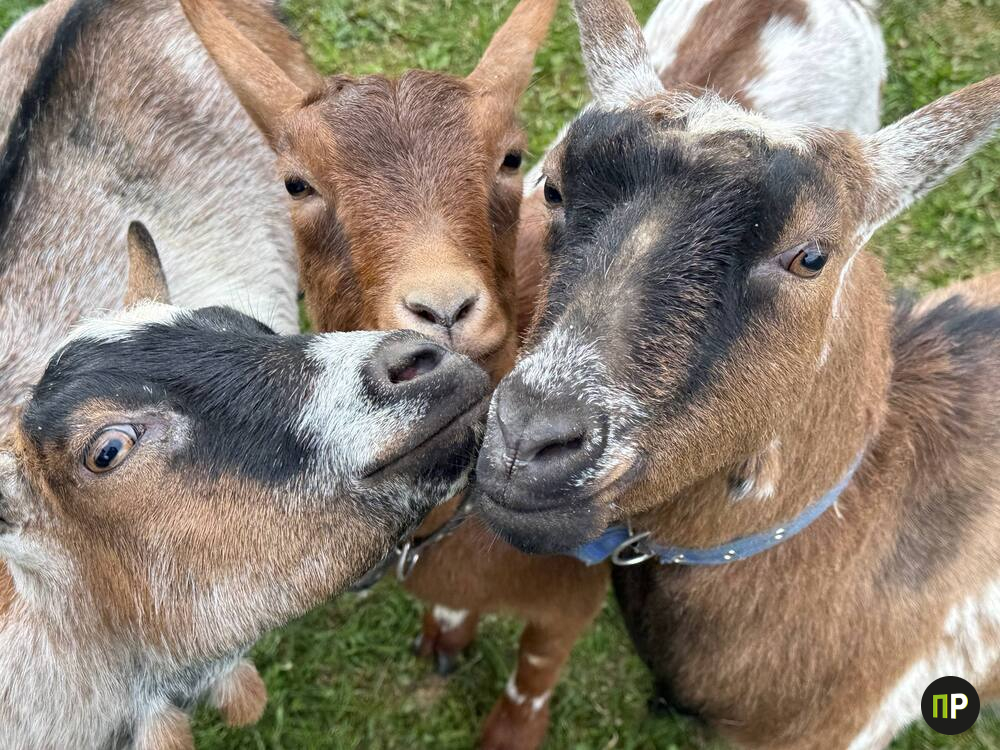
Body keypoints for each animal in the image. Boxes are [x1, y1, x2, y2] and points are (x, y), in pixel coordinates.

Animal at [179, 0, 889, 746]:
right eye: (297, 182)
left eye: (511, 159)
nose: (443, 307)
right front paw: (446, 638)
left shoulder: (568, 598)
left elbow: (537, 668)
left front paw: (511, 727)